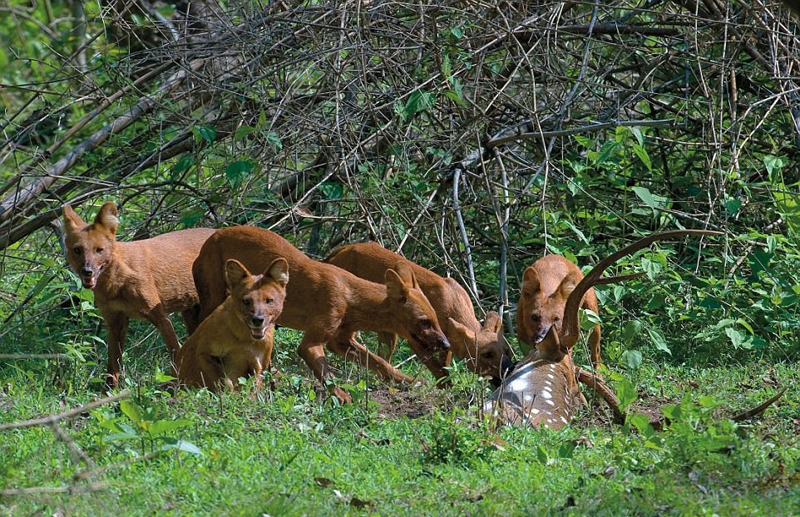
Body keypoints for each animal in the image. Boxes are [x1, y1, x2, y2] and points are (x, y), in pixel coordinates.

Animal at [63, 200, 216, 384]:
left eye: (99, 250)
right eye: (78, 250)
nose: (87, 271)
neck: (116, 284)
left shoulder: (160, 316)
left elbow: (176, 354)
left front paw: (175, 386)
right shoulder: (115, 322)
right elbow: (112, 368)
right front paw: (109, 391)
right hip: (191, 313)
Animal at [177, 258, 290, 392]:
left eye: (269, 301)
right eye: (246, 301)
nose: (257, 319)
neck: (245, 341)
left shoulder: (259, 366)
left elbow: (251, 390)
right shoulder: (203, 353)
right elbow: (225, 382)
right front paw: (231, 396)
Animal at [189, 227, 450, 404]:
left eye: (437, 319)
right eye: (424, 322)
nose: (446, 343)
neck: (350, 295)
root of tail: (211, 238)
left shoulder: (340, 340)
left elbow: (379, 362)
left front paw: (410, 381)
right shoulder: (312, 340)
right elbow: (327, 373)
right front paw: (342, 397)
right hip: (214, 298)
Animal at [324, 240, 512, 380]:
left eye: (507, 351)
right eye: (487, 354)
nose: (509, 368)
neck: (453, 301)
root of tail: (337, 251)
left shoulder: (445, 342)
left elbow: (445, 367)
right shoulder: (416, 338)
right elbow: (440, 372)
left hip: (388, 331)